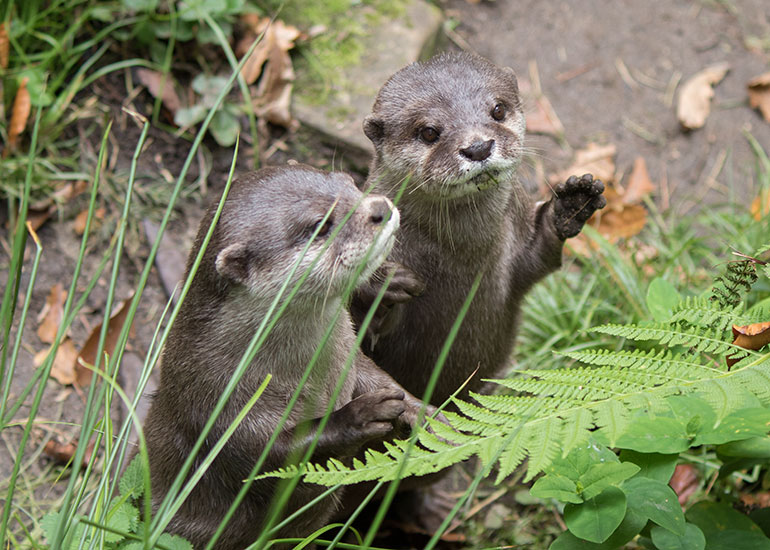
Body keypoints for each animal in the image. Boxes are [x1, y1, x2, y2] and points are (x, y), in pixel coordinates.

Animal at [143, 165, 430, 549]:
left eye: (350, 182)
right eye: (321, 225)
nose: (380, 207)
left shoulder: (349, 361)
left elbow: (379, 377)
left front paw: (426, 413)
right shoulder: (217, 402)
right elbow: (272, 457)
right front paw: (361, 415)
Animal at [353, 52, 606, 407]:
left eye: (497, 110)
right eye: (428, 131)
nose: (478, 147)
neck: (462, 253)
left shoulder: (515, 244)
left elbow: (539, 256)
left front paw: (572, 202)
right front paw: (382, 283)